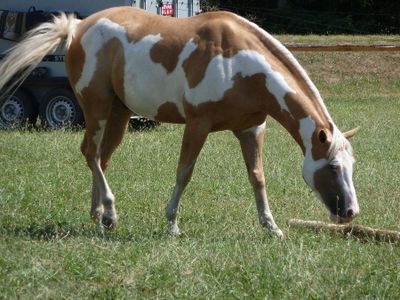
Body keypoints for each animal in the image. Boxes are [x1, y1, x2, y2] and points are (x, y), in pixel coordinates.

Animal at [0, 7, 360, 238]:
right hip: (96, 108)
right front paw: (172, 224)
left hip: (119, 115)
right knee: (90, 152)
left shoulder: (251, 128)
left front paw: (271, 226)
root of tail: (78, 28)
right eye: (332, 167)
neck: (241, 64)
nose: (351, 213)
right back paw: (111, 212)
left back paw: (99, 217)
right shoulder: (197, 124)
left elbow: (257, 177)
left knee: (101, 158)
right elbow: (184, 173)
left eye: (351, 166)